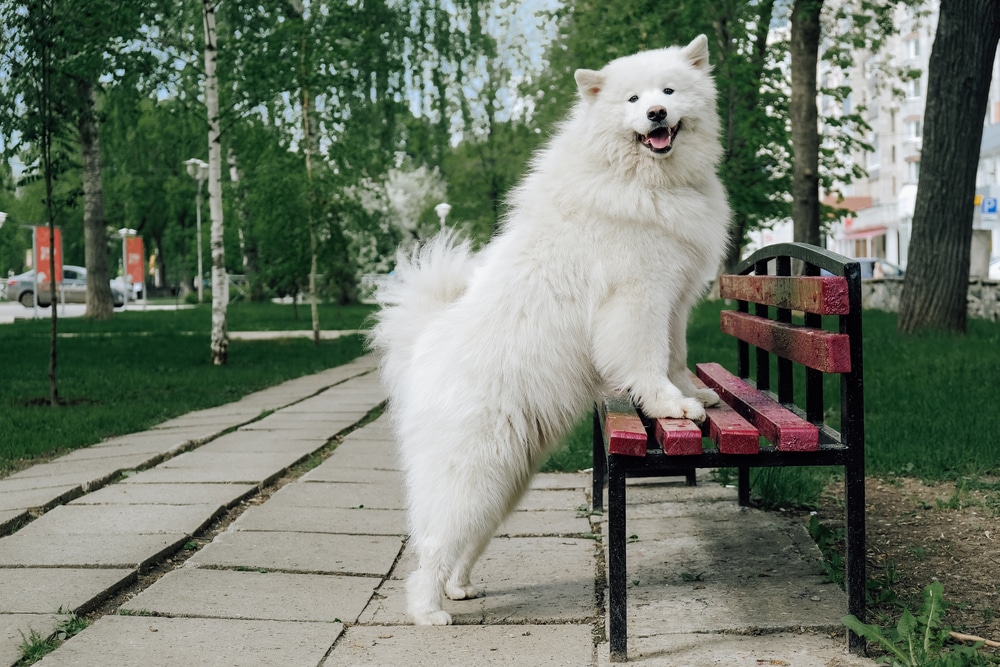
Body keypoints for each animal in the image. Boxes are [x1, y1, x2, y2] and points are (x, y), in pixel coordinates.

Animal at [372, 36, 732, 628]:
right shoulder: (639, 298)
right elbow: (648, 361)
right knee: (431, 546)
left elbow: (675, 356)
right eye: (633, 99)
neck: (641, 178)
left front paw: (695, 394)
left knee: (465, 542)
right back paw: (428, 611)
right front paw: (669, 406)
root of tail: (423, 344)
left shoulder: (675, 300)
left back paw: (460, 589)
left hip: (506, 480)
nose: (657, 113)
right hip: (471, 475)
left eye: (669, 90)